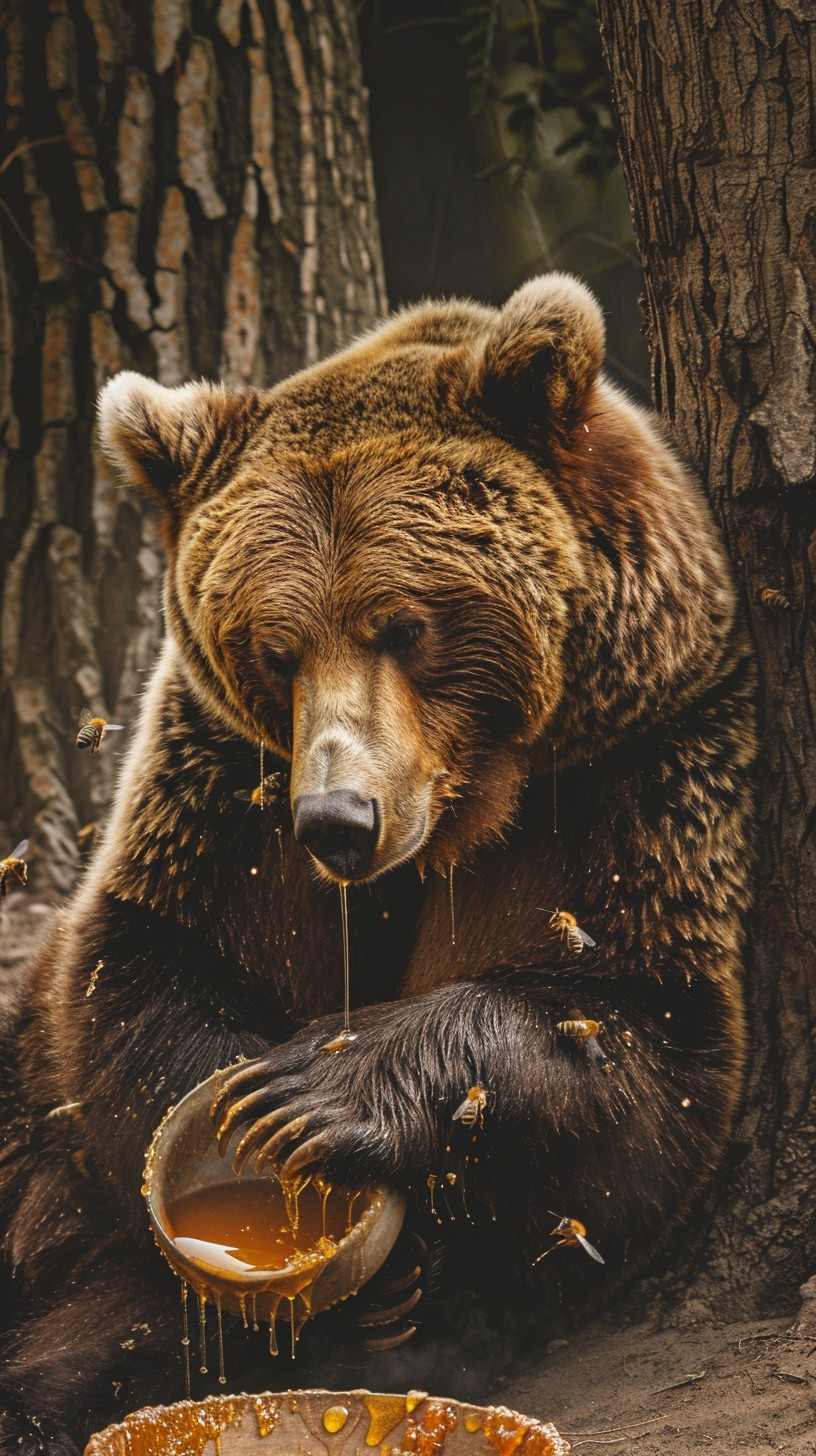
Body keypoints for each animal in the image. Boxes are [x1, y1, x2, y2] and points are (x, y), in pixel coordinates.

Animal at [0, 274, 756, 1454]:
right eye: (275, 649)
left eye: (406, 626)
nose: (338, 820)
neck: (463, 807)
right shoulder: (226, 796)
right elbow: (142, 978)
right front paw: (242, 1119)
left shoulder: (633, 772)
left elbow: (630, 1046)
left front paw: (319, 1098)